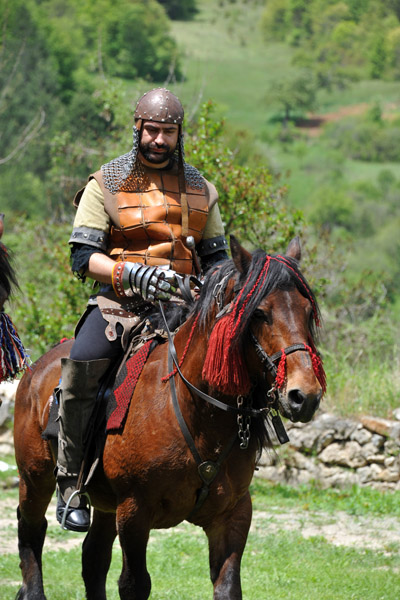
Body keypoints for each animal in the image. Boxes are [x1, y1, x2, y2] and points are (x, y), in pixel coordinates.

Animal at [13, 236, 324, 600]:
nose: (304, 395)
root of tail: (35, 370)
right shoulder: (134, 512)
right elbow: (134, 584)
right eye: (259, 313)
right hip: (35, 478)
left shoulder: (233, 514)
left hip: (104, 504)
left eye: (307, 312)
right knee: (32, 531)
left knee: (93, 557)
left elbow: (227, 585)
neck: (197, 412)